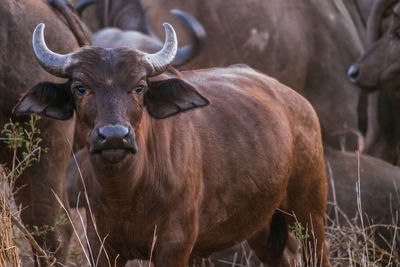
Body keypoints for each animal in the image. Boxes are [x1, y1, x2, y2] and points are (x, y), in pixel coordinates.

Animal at [14, 24, 332, 266]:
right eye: (80, 88)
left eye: (139, 87)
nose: (115, 136)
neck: (128, 193)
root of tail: (299, 103)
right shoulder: (101, 245)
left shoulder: (174, 246)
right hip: (261, 222)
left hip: (310, 209)